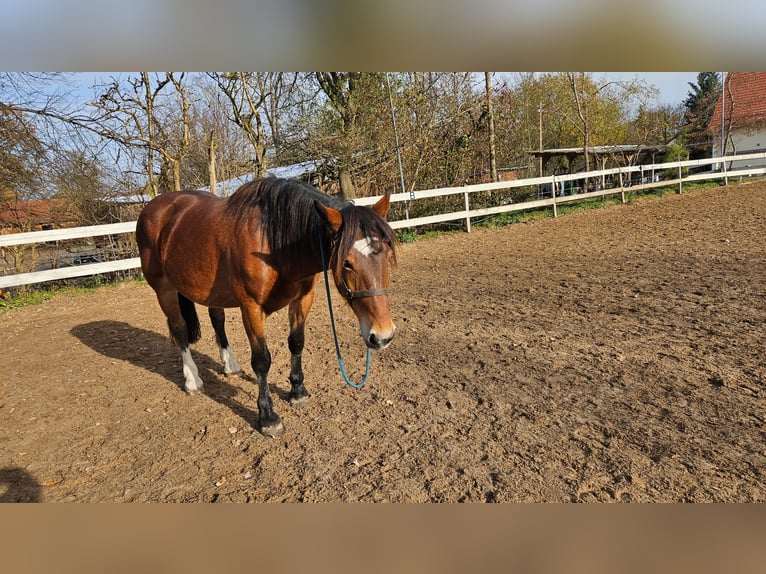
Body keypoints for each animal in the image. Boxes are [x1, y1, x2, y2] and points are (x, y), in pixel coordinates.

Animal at [136, 178, 400, 438]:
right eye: (347, 263)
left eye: (387, 254)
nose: (383, 336)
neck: (273, 243)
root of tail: (156, 206)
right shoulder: (251, 308)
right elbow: (262, 360)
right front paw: (268, 416)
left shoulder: (303, 298)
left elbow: (296, 343)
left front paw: (298, 391)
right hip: (164, 288)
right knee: (179, 328)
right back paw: (192, 379)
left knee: (217, 319)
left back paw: (230, 365)